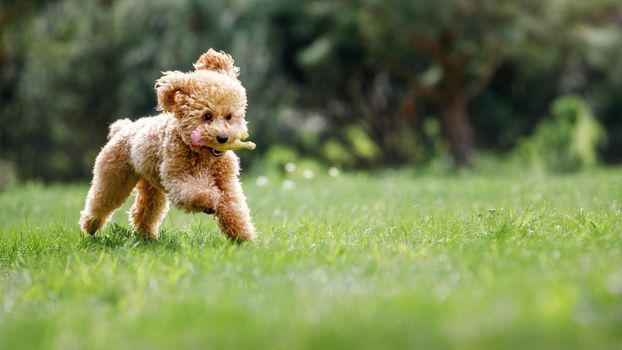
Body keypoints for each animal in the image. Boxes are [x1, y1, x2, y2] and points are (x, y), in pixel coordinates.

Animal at [79, 49, 258, 241]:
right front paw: (210, 201)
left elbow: (233, 207)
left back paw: (147, 236)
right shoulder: (177, 177)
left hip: (151, 186)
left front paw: (243, 238)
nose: (223, 138)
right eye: (207, 116)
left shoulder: (227, 182)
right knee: (101, 202)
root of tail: (123, 128)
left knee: (144, 211)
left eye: (229, 116)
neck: (204, 156)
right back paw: (90, 226)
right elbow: (195, 192)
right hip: (113, 178)